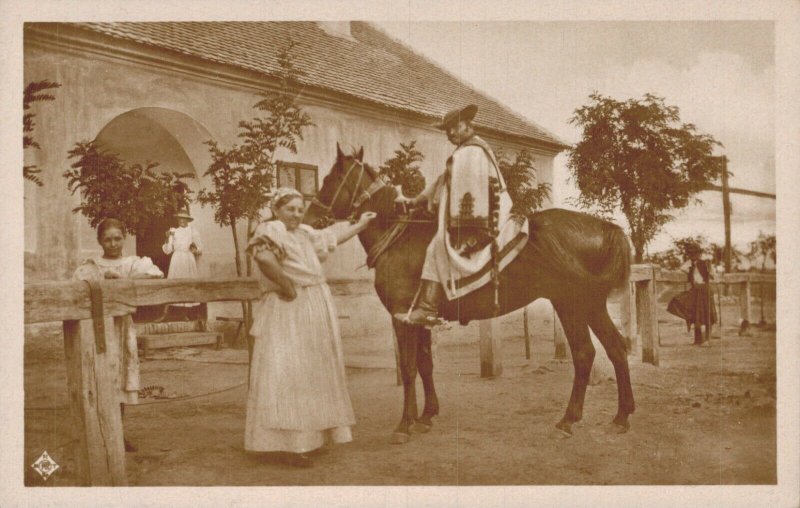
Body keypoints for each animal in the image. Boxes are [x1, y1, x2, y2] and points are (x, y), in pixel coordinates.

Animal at [304, 145, 636, 442]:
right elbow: (425, 364)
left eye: (330, 178)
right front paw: (427, 415)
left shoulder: (402, 318)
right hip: (591, 306)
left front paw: (405, 423)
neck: (400, 235)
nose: (308, 217)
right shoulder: (420, 319)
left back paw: (568, 419)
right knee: (616, 348)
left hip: (570, 305)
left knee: (584, 354)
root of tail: (605, 228)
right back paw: (621, 416)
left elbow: (409, 368)